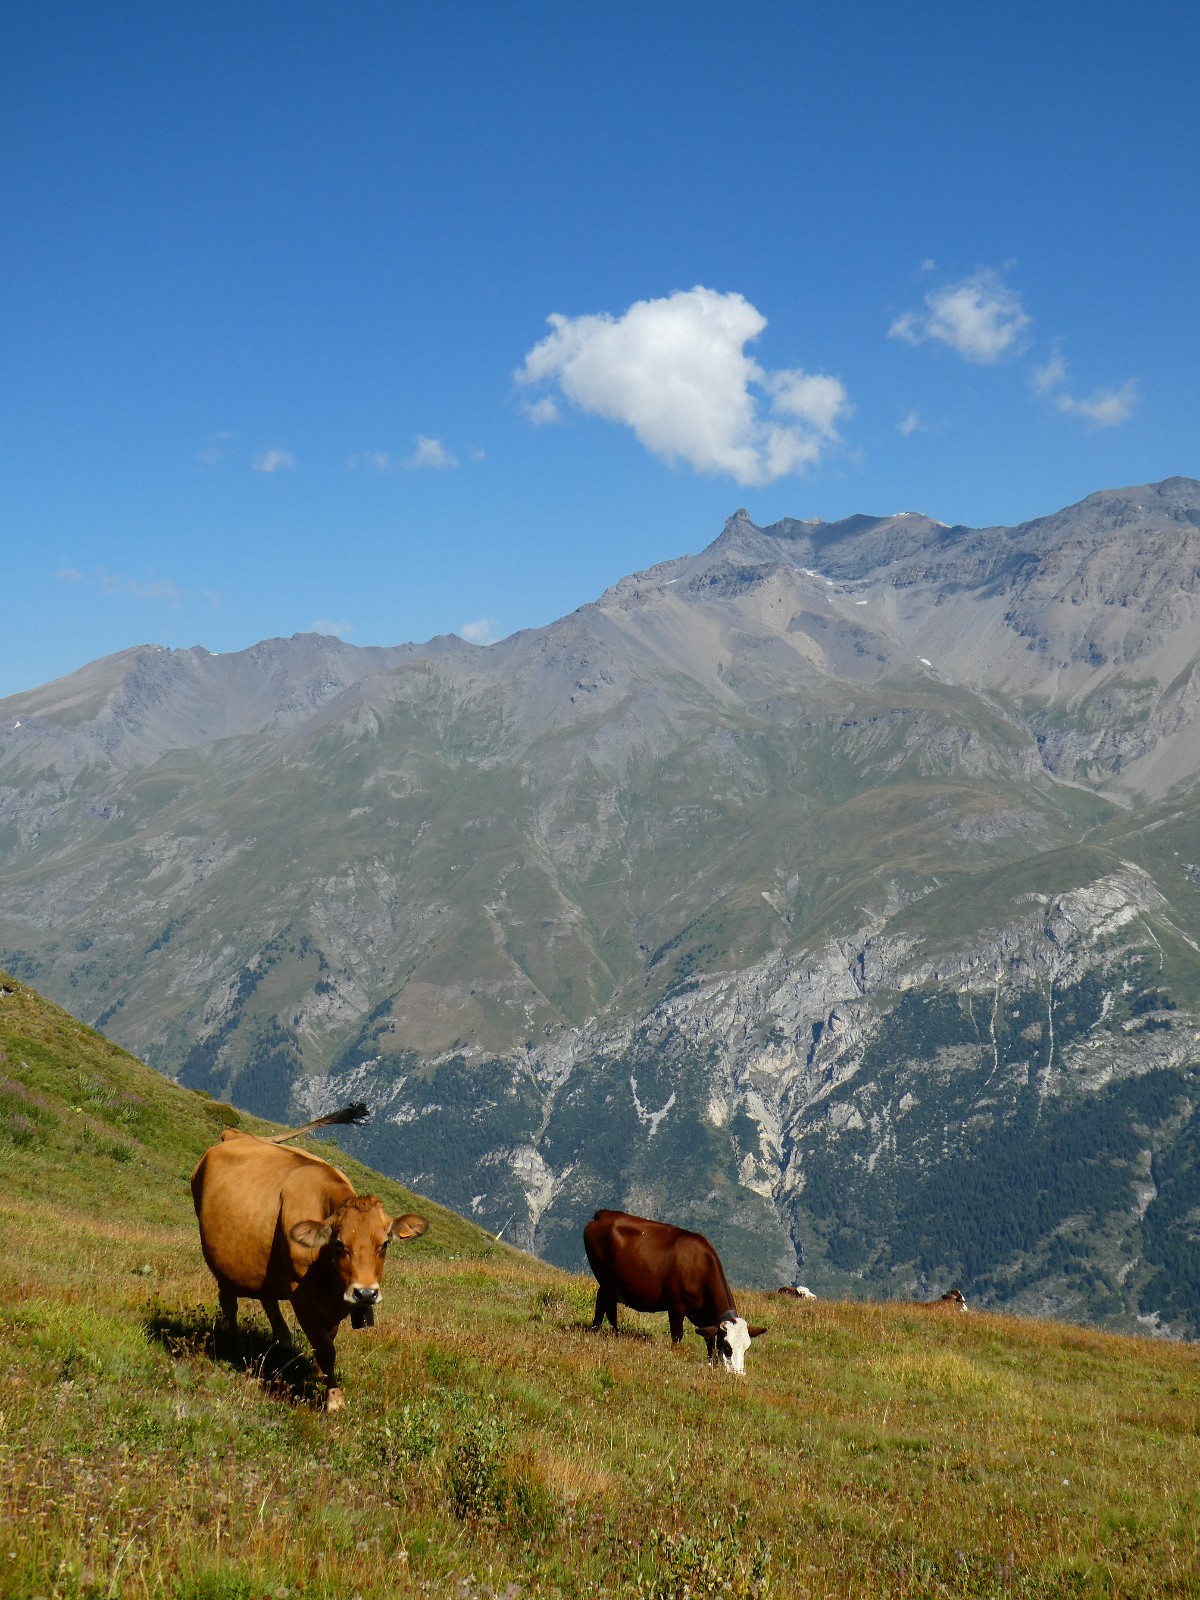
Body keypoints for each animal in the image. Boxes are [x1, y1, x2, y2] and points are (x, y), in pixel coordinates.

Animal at [188, 1107, 428, 1408]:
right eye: (339, 1244)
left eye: (384, 1244)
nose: (366, 1294)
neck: (329, 1277)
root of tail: (235, 1135)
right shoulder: (300, 1295)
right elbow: (325, 1348)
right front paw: (334, 1399)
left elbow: (328, 1341)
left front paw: (320, 1376)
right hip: (221, 1264)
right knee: (229, 1304)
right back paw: (240, 1352)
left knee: (266, 1296)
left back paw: (283, 1340)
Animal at [585, 1209, 771, 1376]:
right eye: (727, 1347)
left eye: (746, 1347)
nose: (738, 1374)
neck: (700, 1266)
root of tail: (604, 1214)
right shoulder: (676, 1306)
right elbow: (677, 1335)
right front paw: (675, 1356)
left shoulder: (706, 1318)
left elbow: (709, 1339)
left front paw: (711, 1363)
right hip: (606, 1280)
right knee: (604, 1304)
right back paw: (603, 1332)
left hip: (612, 1285)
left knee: (607, 1305)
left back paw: (609, 1332)